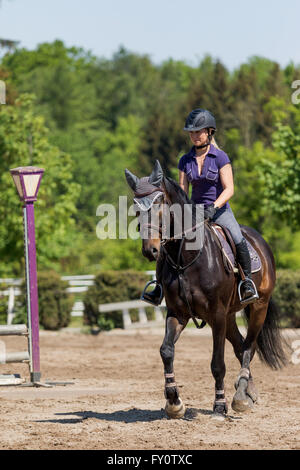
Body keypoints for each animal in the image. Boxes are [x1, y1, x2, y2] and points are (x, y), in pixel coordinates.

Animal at [125, 161, 288, 418]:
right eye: (135, 208)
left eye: (160, 202)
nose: (150, 250)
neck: (185, 258)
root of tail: (259, 241)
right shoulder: (178, 313)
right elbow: (166, 351)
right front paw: (174, 402)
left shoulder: (217, 314)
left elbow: (217, 364)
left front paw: (219, 406)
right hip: (230, 316)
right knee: (240, 346)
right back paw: (247, 392)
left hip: (257, 307)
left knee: (248, 347)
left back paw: (240, 397)